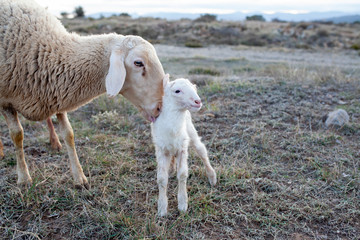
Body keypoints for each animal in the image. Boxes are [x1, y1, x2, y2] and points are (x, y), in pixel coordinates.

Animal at [0, 0, 166, 187]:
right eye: (138, 63)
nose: (159, 108)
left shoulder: (57, 93)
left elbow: (69, 134)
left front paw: (79, 177)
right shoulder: (6, 101)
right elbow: (17, 135)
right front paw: (24, 178)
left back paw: (54, 142)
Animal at [151, 75, 217, 216]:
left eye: (193, 87)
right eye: (177, 91)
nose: (198, 101)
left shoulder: (182, 148)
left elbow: (182, 174)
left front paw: (182, 204)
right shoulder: (161, 149)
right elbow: (161, 178)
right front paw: (162, 208)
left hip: (191, 132)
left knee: (202, 151)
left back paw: (212, 177)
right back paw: (171, 168)